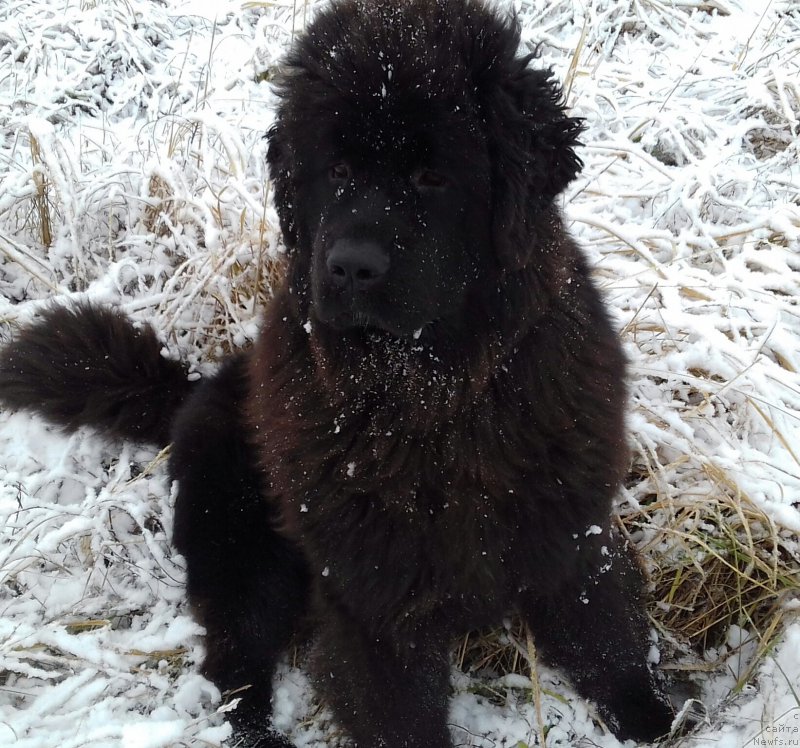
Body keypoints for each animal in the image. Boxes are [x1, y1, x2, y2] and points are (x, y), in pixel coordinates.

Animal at [0, 0, 676, 744]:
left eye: (432, 176)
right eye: (340, 171)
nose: (350, 266)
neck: (433, 400)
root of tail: (192, 393)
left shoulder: (573, 536)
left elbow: (609, 645)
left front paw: (654, 719)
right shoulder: (372, 597)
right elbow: (400, 712)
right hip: (243, 550)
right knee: (235, 666)